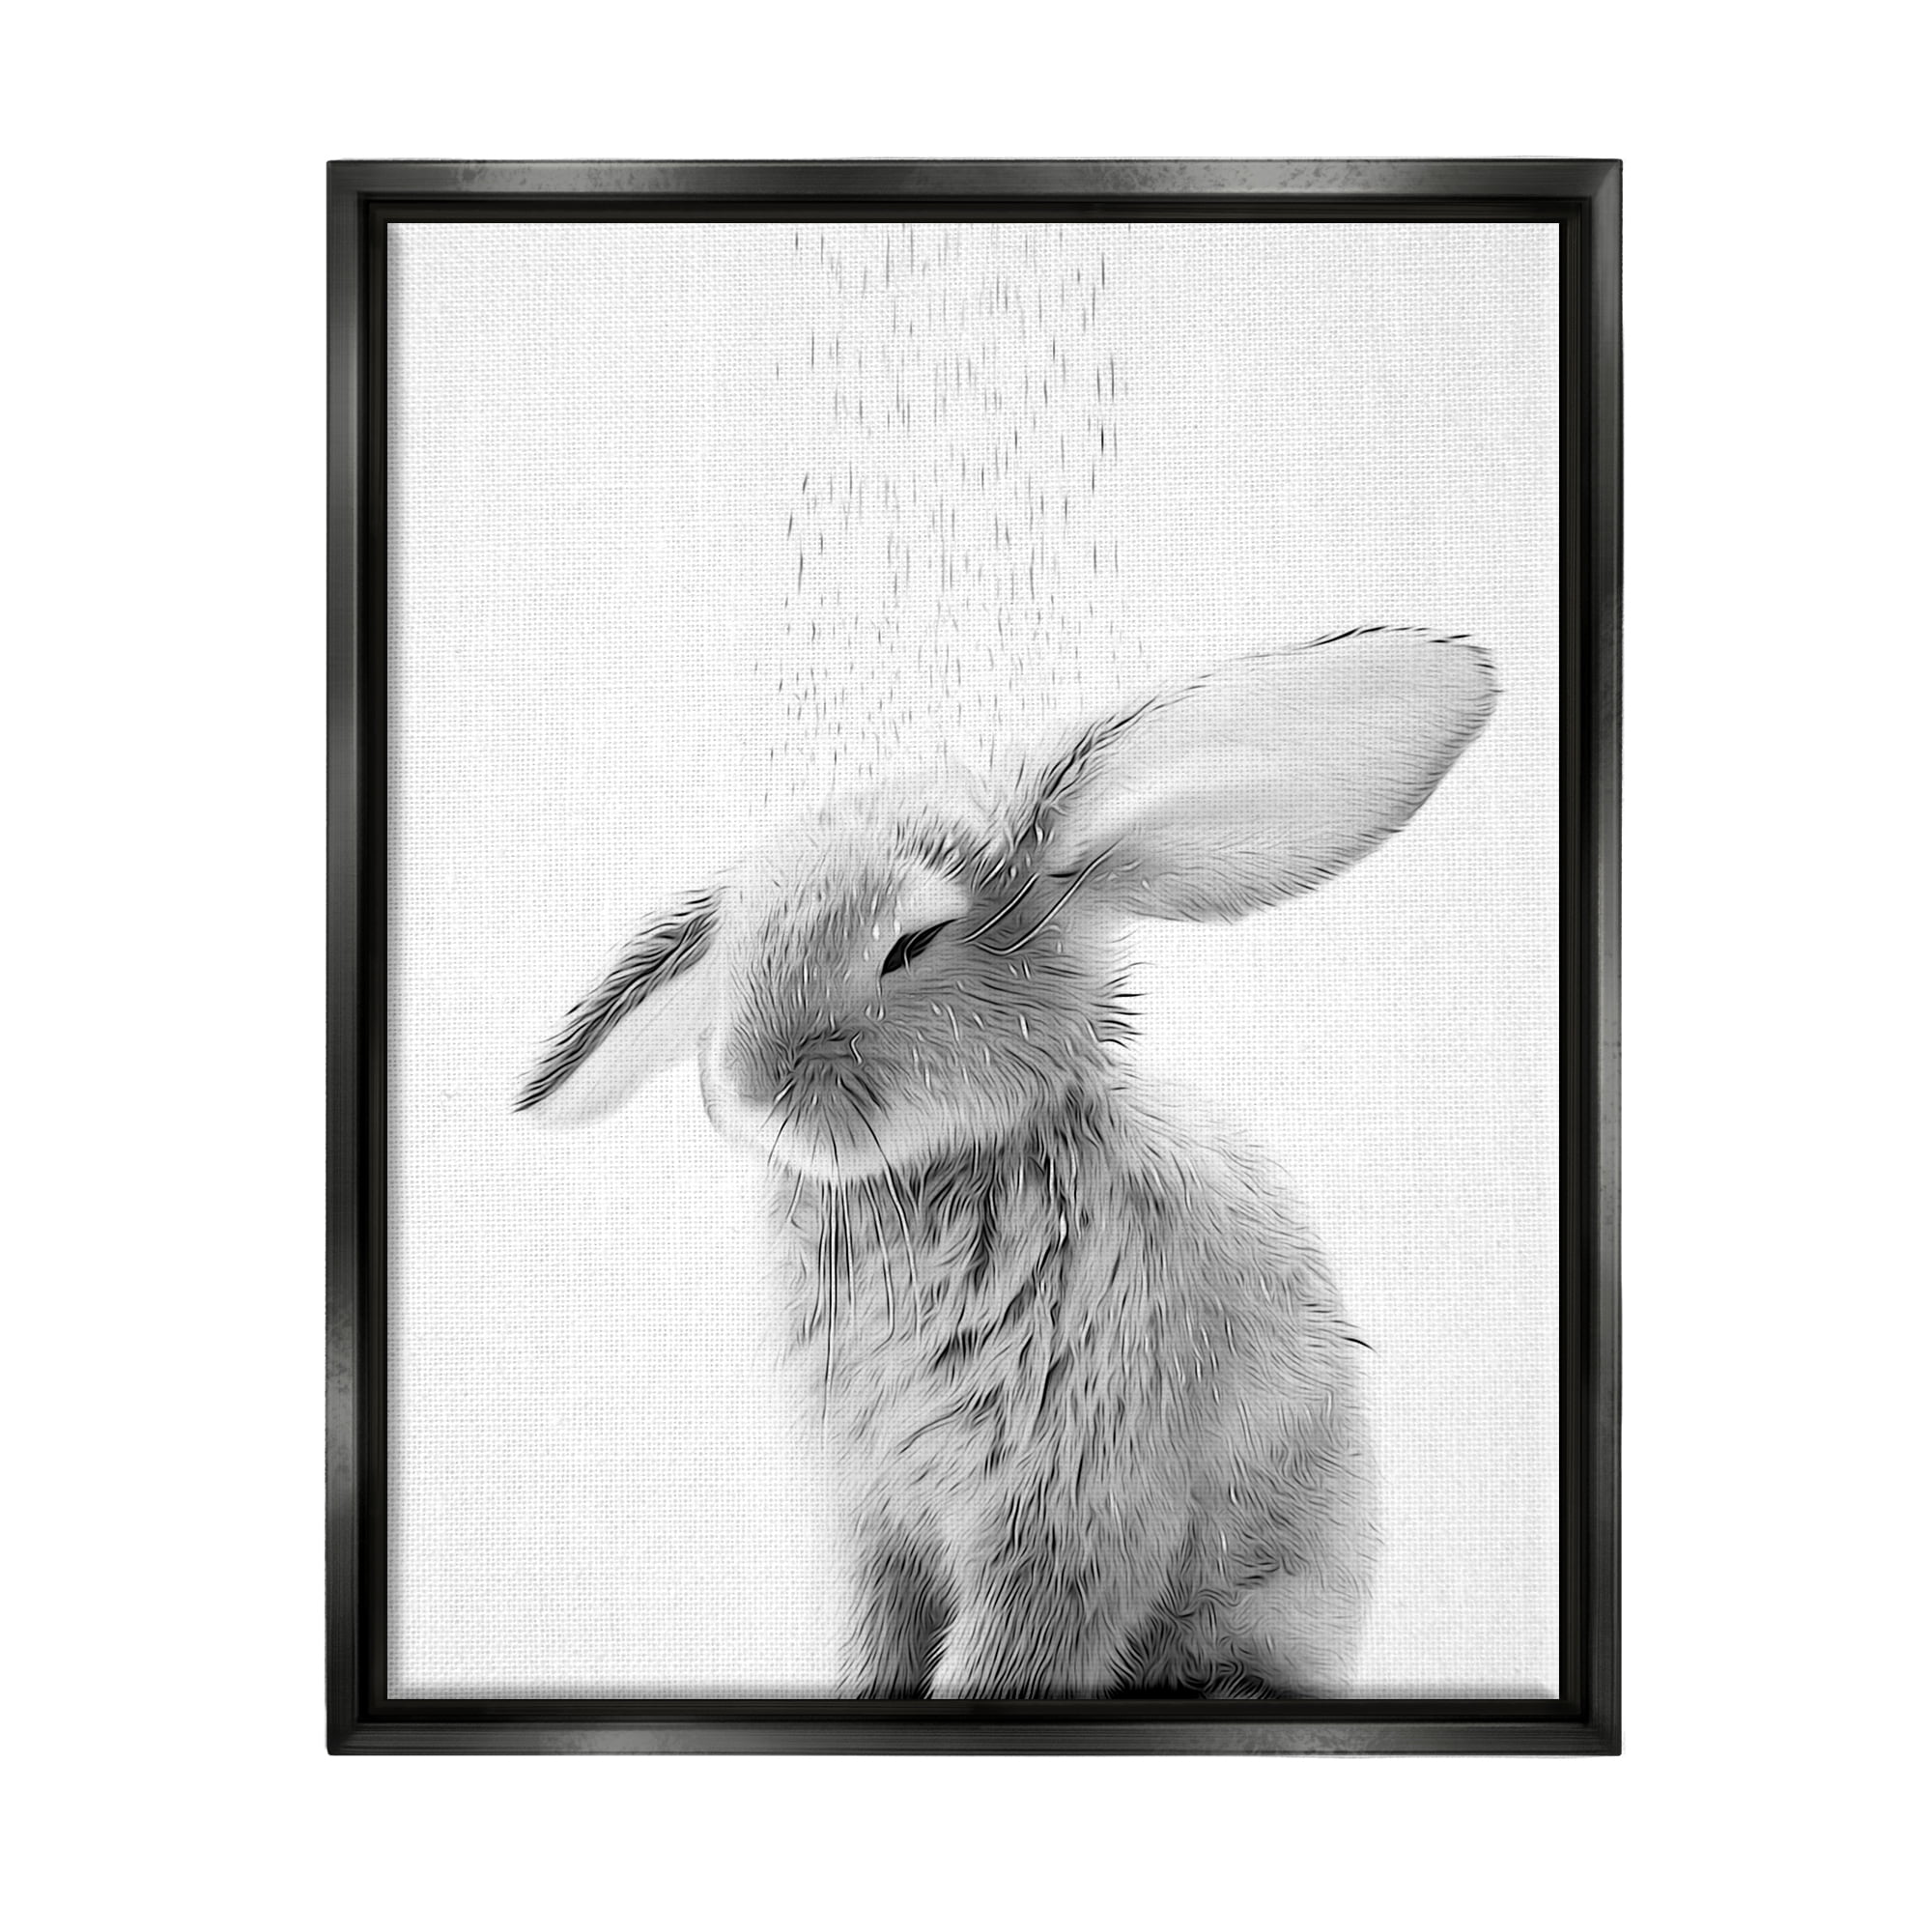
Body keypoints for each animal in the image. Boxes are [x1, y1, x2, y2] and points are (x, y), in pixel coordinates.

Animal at [518, 625, 1496, 1698]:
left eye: (911, 941)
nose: (744, 1082)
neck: (935, 1172)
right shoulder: (879, 1519)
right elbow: (876, 1637)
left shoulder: (1067, 1510)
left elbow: (1009, 1655)